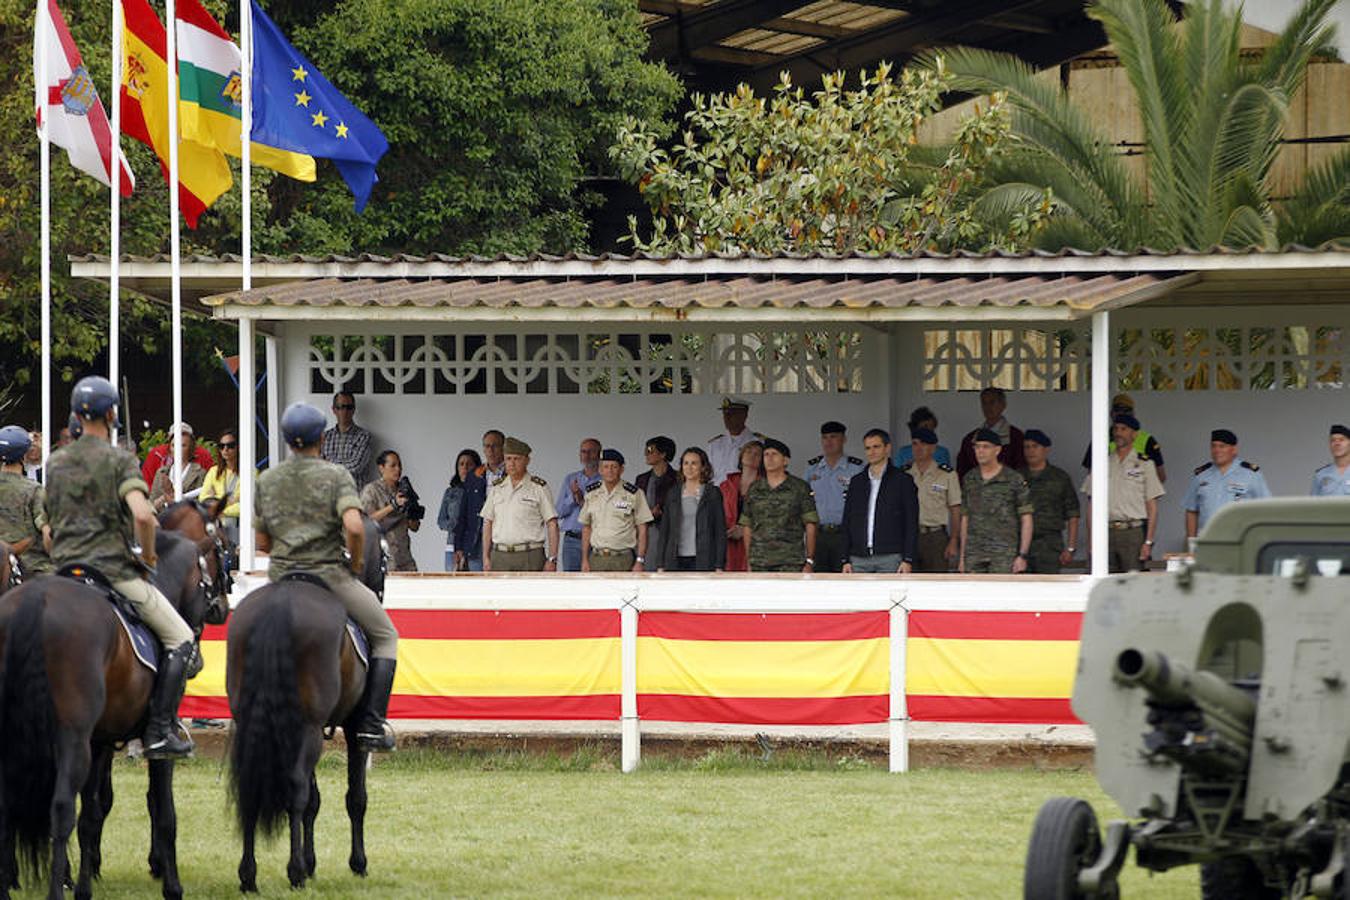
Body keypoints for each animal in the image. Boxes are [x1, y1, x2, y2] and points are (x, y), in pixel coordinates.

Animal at [0, 528, 229, 900]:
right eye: (219, 562)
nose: (222, 609)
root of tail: (37, 600)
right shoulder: (155, 749)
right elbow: (164, 811)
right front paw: (172, 885)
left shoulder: (101, 742)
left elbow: (92, 813)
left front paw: (85, 885)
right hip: (71, 740)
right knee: (60, 809)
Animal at [226, 518, 383, 890]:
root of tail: (280, 605)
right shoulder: (352, 727)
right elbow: (355, 797)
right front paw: (356, 863)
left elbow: (314, 800)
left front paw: (312, 863)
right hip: (309, 728)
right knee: (295, 788)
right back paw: (294, 871)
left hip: (258, 724)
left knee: (252, 788)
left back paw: (249, 875)